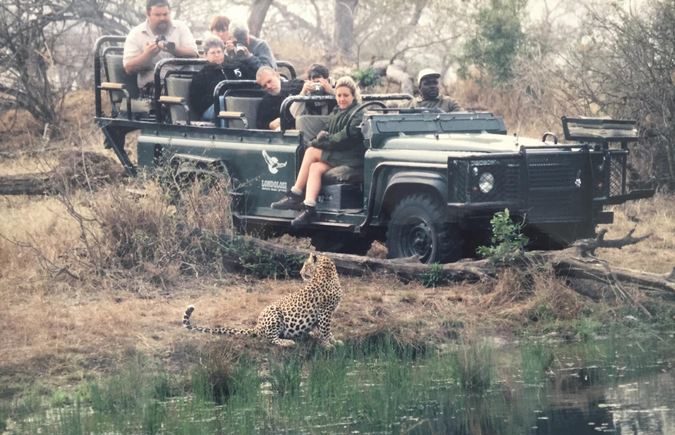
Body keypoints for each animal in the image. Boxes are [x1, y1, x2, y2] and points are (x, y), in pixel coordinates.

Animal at [182, 252, 344, 348]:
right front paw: (328, 345)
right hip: (274, 314)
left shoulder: (325, 313)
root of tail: (257, 326)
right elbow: (325, 330)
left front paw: (334, 341)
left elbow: (326, 330)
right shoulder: (325, 312)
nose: (300, 272)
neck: (327, 273)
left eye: (305, 265)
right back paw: (287, 342)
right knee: (271, 338)